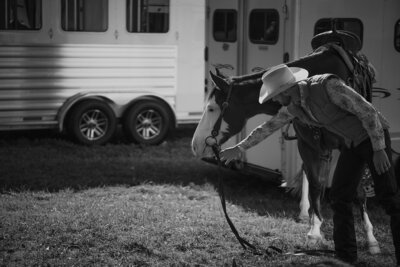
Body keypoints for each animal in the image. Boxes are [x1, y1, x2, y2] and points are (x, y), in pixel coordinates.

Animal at [191, 44, 382, 255]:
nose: (195, 145)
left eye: (211, 108)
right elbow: (315, 184)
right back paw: (306, 213)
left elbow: (358, 190)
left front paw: (371, 239)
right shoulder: (307, 144)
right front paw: (314, 231)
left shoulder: (353, 141)